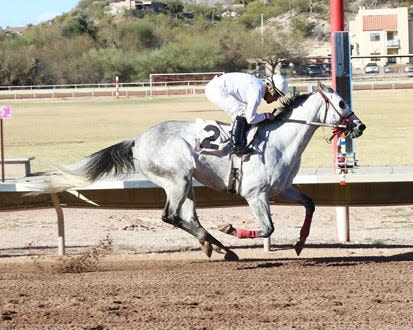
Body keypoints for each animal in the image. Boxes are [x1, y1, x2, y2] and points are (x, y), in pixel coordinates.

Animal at [44, 82, 364, 260]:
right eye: (341, 102)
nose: (360, 126)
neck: (281, 140)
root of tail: (137, 141)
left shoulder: (281, 188)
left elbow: (309, 204)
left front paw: (299, 243)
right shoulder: (255, 194)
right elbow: (268, 228)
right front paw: (232, 228)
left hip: (186, 184)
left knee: (187, 217)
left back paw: (218, 247)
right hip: (177, 178)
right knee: (171, 216)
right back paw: (221, 245)